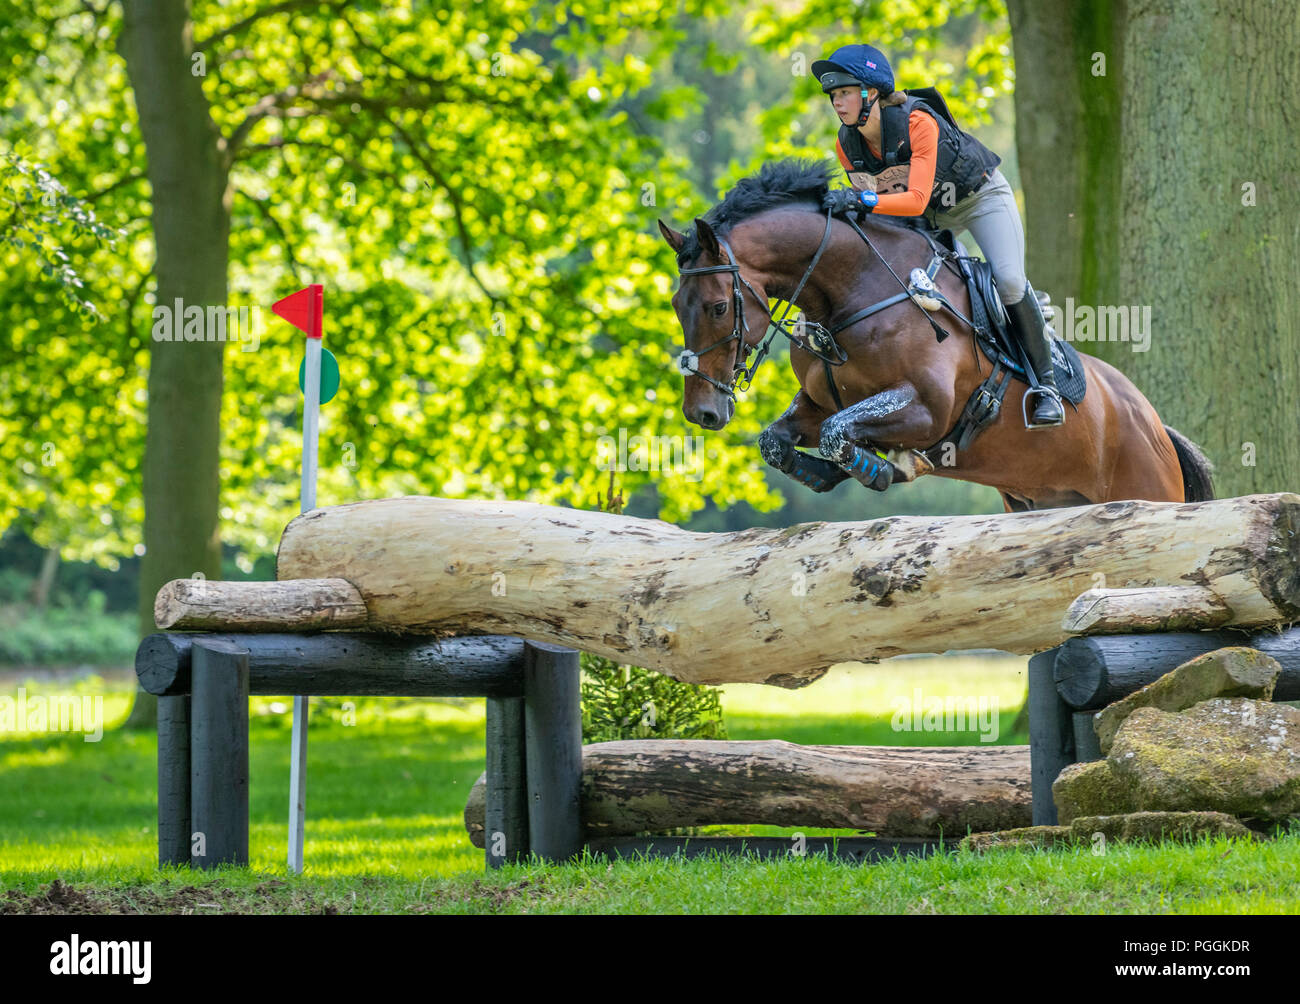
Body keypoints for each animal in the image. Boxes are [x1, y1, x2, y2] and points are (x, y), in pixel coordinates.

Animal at [658, 159, 1213, 510]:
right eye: (676, 307)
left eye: (717, 306)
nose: (702, 413)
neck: (853, 290)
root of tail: (1155, 426)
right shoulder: (819, 404)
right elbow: (778, 440)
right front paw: (827, 473)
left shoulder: (929, 410)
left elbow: (840, 432)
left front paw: (888, 468)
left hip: (1146, 489)